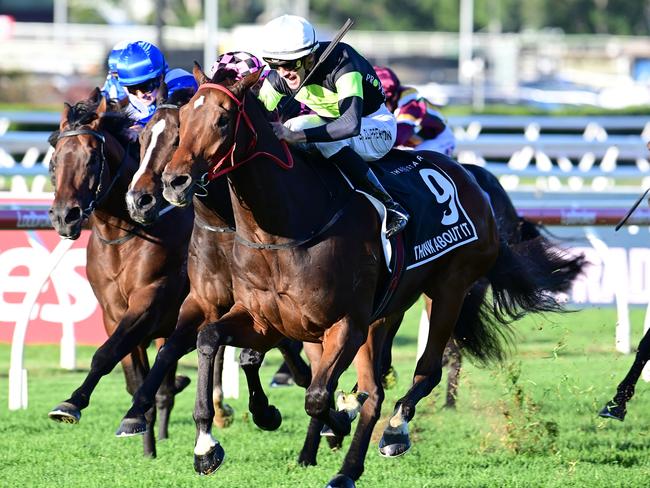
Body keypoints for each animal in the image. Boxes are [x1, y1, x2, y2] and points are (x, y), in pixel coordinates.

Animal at [47, 90, 192, 458]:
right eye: (56, 158)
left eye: (91, 158)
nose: (64, 216)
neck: (123, 233)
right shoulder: (113, 311)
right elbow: (131, 374)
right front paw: (146, 444)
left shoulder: (149, 300)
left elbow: (105, 354)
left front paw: (71, 404)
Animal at [115, 86, 310, 436]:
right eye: (143, 138)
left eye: (177, 138)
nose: (138, 200)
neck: (225, 225)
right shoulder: (206, 301)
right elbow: (173, 348)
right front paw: (137, 411)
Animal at [158, 67, 568, 484]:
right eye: (185, 119)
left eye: (223, 120)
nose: (174, 181)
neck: (283, 231)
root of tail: (473, 182)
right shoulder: (266, 320)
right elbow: (214, 341)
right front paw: (209, 444)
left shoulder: (345, 325)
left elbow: (317, 396)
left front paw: (335, 420)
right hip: (388, 311)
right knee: (376, 384)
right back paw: (349, 458)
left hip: (449, 289)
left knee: (424, 373)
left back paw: (389, 435)